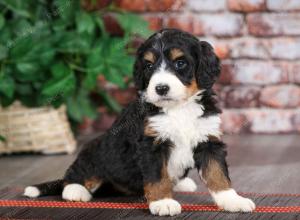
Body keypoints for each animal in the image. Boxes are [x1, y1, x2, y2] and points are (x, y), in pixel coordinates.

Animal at [24, 28, 256, 216]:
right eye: (149, 65)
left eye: (180, 63)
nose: (161, 88)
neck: (179, 109)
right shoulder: (150, 144)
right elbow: (157, 177)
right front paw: (163, 202)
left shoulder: (208, 140)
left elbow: (217, 174)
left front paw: (232, 200)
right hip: (96, 150)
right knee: (77, 173)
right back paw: (75, 190)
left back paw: (181, 183)